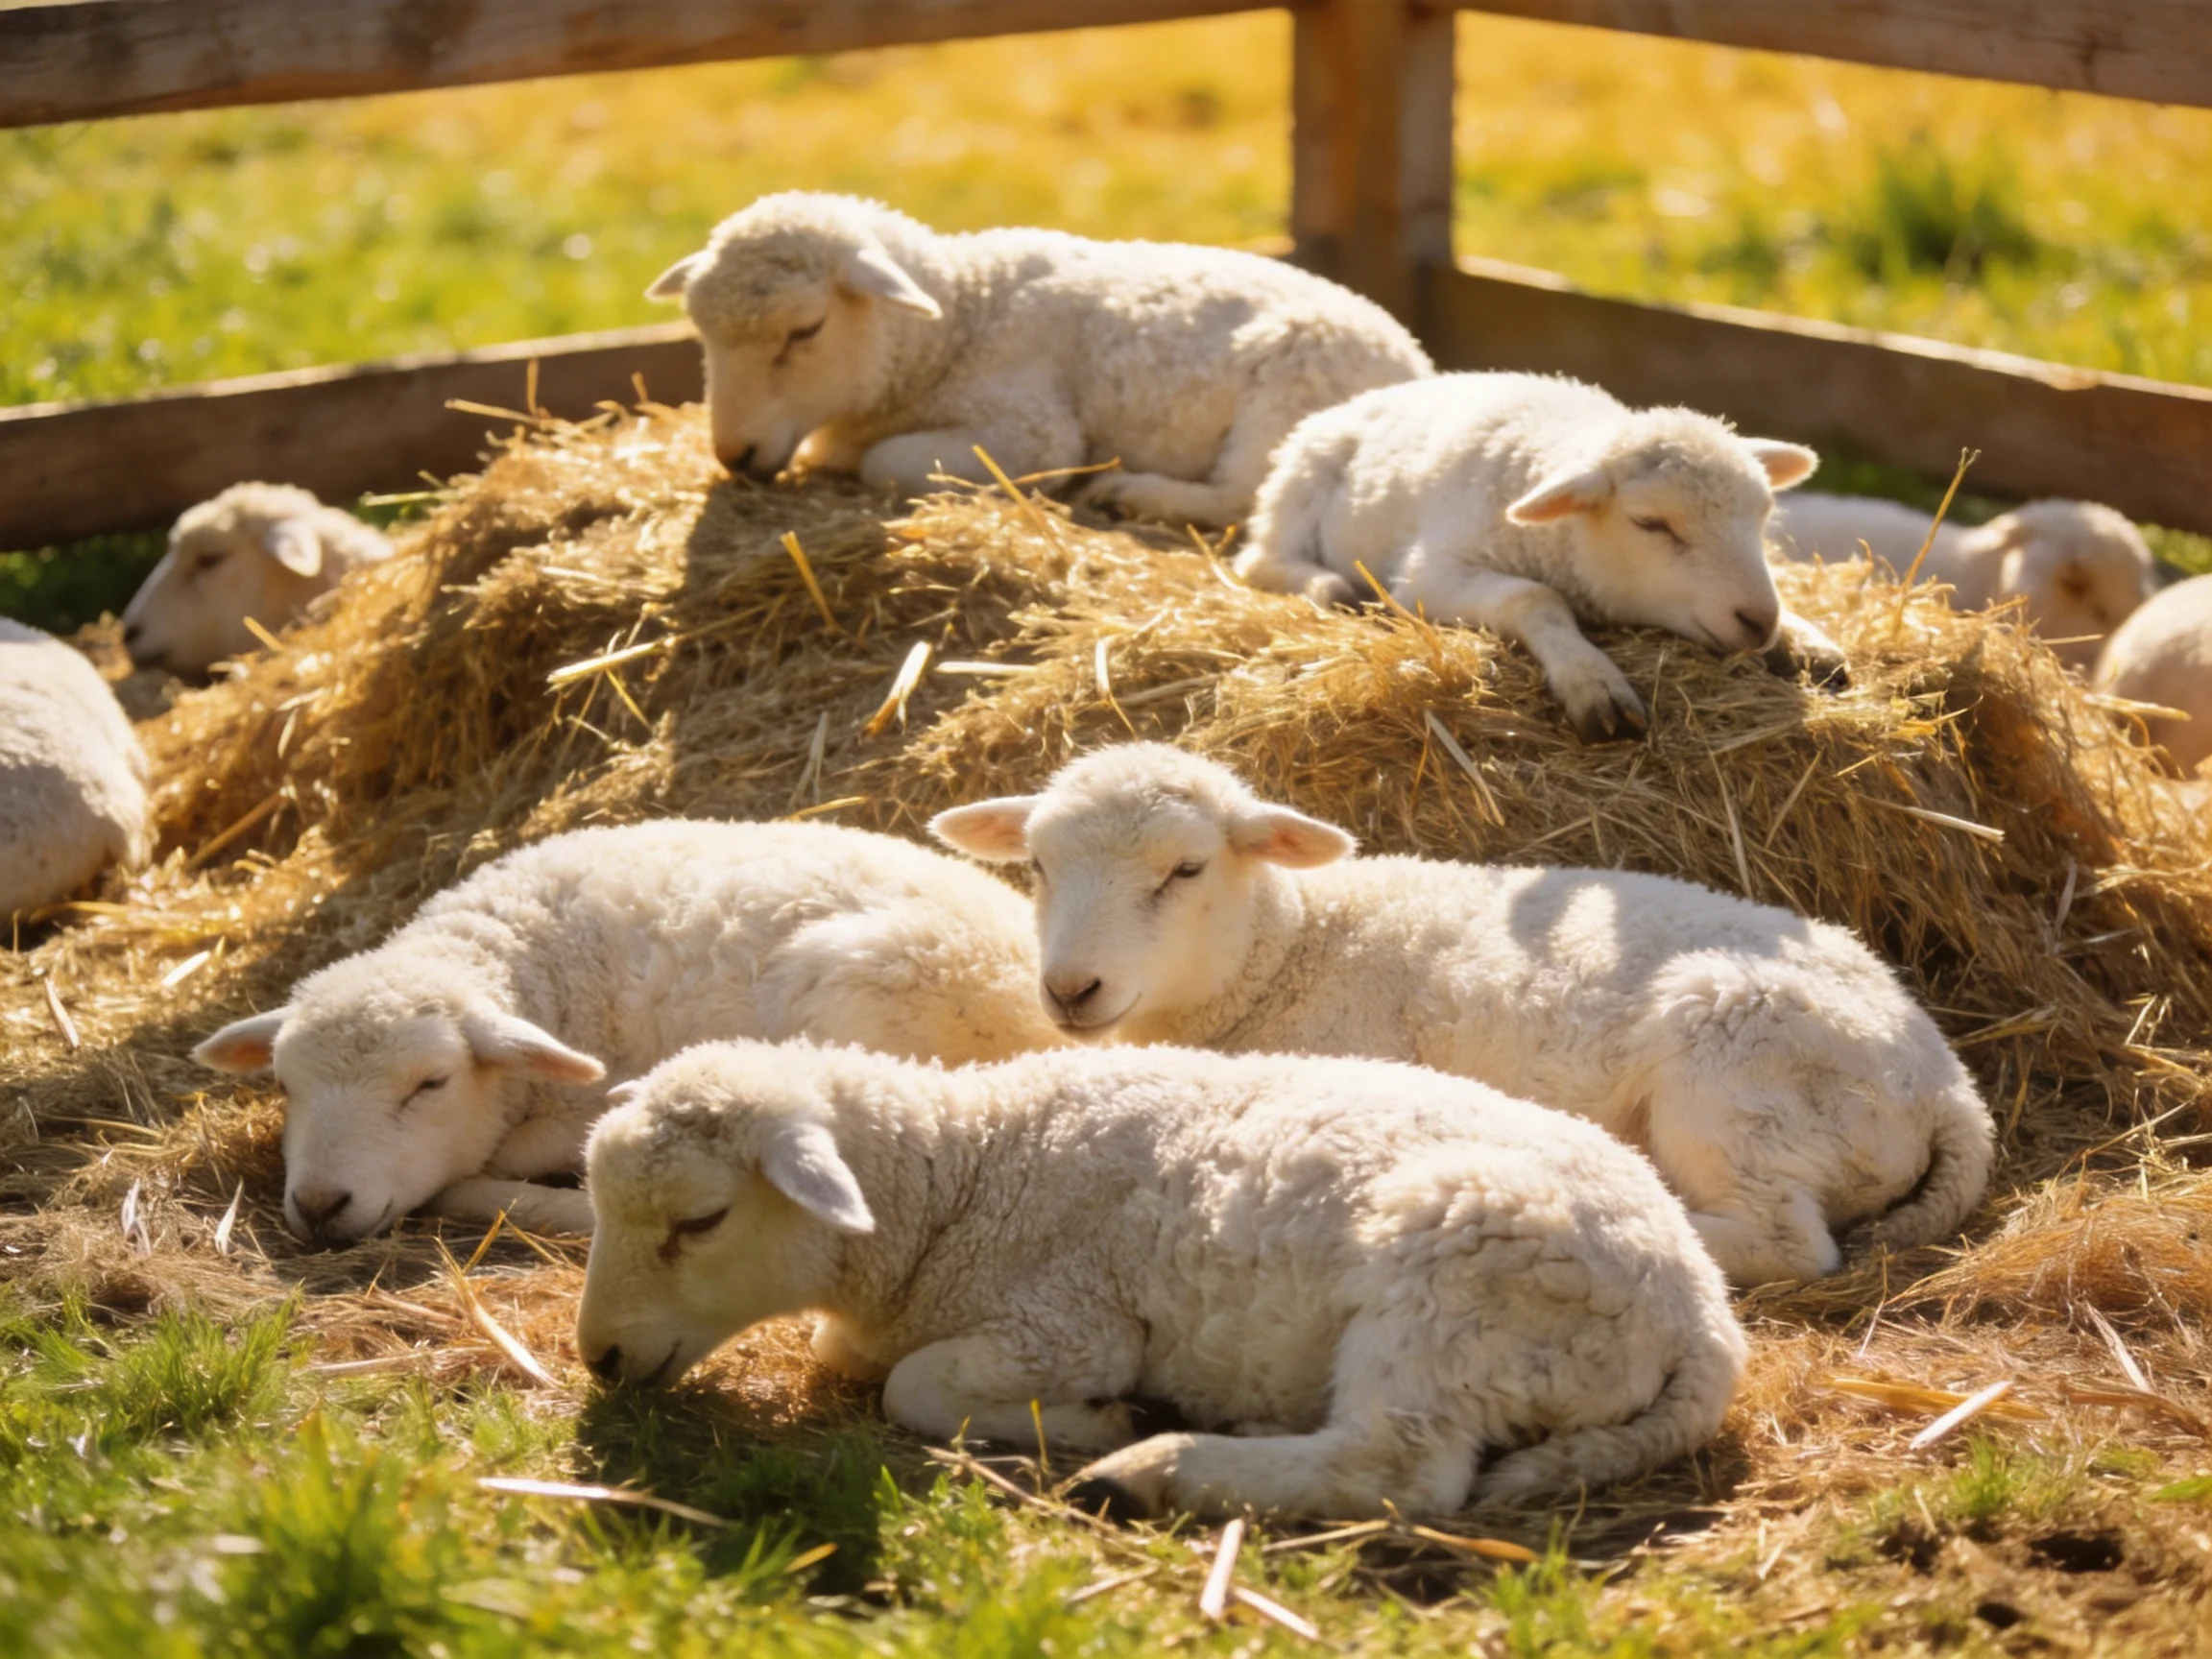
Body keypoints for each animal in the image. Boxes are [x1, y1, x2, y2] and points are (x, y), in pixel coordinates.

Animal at [576, 1037, 1747, 1520]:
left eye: (700, 1220)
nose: (600, 1357)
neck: (966, 1176)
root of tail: (1706, 1318)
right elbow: (857, 1359)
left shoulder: (1066, 1323)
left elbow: (913, 1389)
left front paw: (1092, 1419)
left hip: (1453, 1280)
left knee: (1397, 1469)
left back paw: (1147, 1466)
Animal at [642, 191, 1433, 527]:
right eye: (701, 333)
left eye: (804, 330)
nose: (734, 454)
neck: (960, 318)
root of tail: (1421, 362)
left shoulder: (1029, 430)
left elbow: (880, 463)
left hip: (1291, 390)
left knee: (1244, 496)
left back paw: (1135, 494)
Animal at [932, 744, 1994, 1288]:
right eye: (1036, 866)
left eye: (1185, 870)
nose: (1070, 989)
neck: (1287, 954)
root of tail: (1951, 1089)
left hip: (1739, 1075)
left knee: (1786, 1243)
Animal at [1233, 372, 1844, 740]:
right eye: (1650, 523)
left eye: (1762, 515)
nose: (1758, 620)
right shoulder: (1433, 573)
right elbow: (1535, 596)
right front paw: (1593, 682)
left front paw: (1803, 636)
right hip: (1298, 483)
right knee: (1260, 559)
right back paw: (1333, 587)